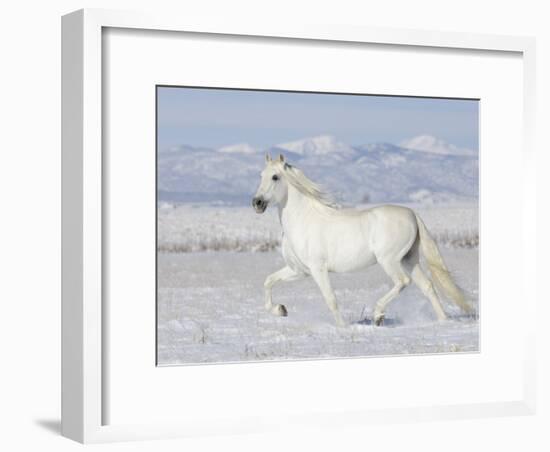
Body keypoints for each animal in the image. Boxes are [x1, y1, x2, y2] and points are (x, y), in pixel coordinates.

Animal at [252, 154, 472, 326]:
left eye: (275, 177)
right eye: (260, 176)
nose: (257, 203)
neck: (303, 220)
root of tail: (412, 214)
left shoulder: (318, 269)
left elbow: (331, 299)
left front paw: (343, 328)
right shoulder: (299, 271)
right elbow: (268, 281)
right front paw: (280, 309)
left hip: (389, 260)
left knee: (403, 281)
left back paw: (378, 315)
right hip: (409, 260)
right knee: (427, 286)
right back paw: (443, 321)